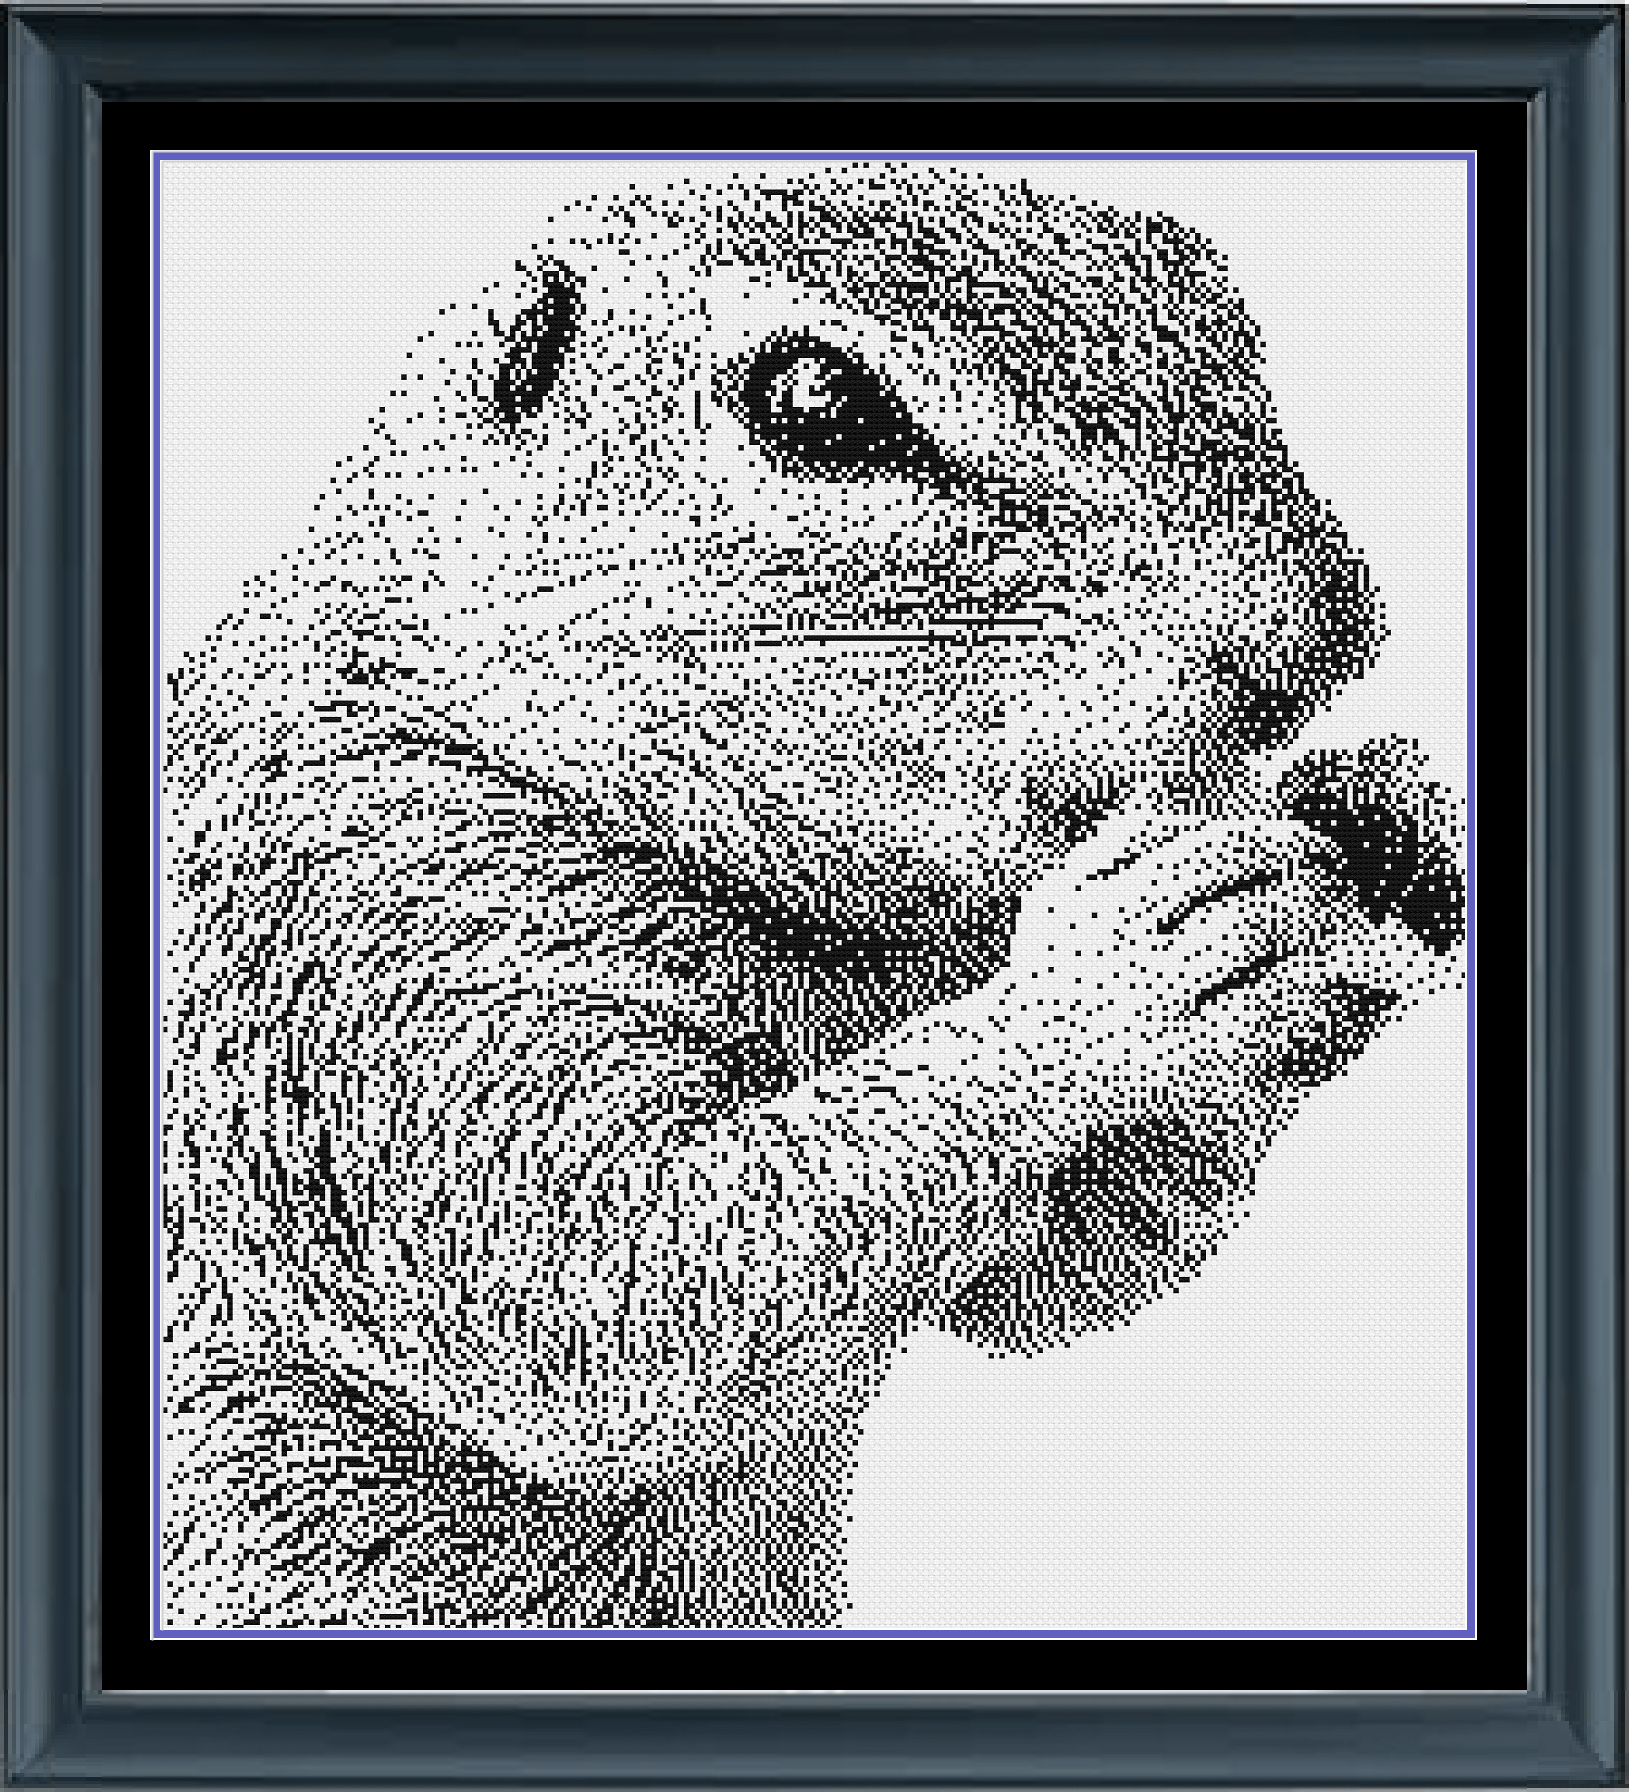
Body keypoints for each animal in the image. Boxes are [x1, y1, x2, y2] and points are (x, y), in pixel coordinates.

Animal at [160, 163, 1465, 1630]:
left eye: (1209, 282)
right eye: (816, 401)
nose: (1326, 638)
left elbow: (1067, 1271)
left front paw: (1391, 824)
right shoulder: (363, 976)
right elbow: (611, 1288)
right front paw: (1117, 968)